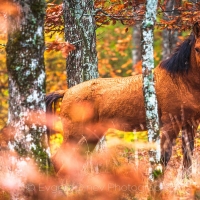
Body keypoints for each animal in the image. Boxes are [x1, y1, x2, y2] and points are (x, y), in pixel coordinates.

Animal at [45, 21, 200, 172]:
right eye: (197, 49)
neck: (180, 81)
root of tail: (66, 92)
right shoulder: (170, 124)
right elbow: (164, 158)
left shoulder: (191, 123)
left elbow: (187, 160)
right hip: (74, 134)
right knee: (58, 161)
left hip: (91, 135)